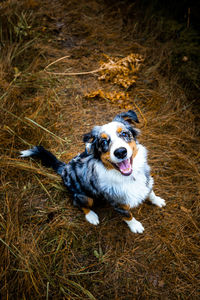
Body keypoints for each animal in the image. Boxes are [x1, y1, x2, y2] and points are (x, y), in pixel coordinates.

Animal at [19, 109, 166, 233]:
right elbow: (128, 215)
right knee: (78, 203)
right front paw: (135, 226)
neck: (130, 177)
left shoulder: (147, 181)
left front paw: (158, 200)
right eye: (103, 142)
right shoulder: (119, 204)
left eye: (124, 134)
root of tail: (64, 168)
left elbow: (150, 192)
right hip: (84, 197)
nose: (120, 152)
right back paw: (91, 216)